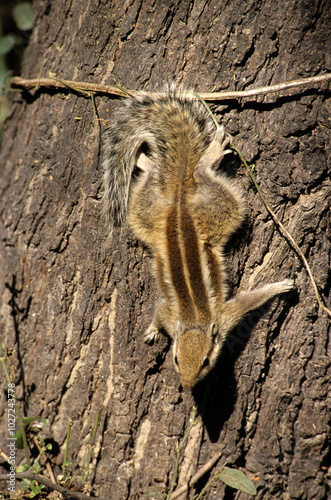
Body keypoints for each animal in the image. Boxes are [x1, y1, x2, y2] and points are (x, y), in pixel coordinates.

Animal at [102, 87, 296, 390]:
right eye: (176, 358)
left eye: (206, 361)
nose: (187, 384)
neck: (195, 321)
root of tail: (180, 196)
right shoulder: (174, 315)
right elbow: (159, 314)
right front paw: (152, 329)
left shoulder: (225, 316)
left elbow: (251, 300)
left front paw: (280, 287)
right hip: (164, 209)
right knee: (181, 173)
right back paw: (163, 159)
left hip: (191, 207)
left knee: (184, 172)